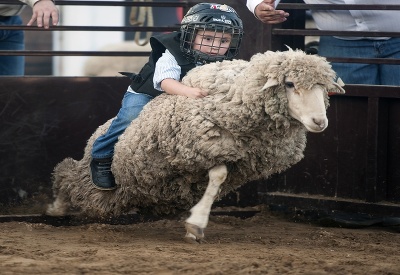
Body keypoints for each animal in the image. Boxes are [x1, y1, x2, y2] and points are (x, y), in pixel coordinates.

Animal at [47, 49, 346, 244]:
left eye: (324, 89)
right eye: (290, 83)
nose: (319, 121)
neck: (235, 96)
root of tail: (99, 131)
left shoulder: (235, 158)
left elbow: (217, 181)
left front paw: (196, 222)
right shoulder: (207, 147)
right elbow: (218, 176)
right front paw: (196, 224)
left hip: (123, 193)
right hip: (101, 178)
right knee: (67, 171)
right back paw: (56, 208)